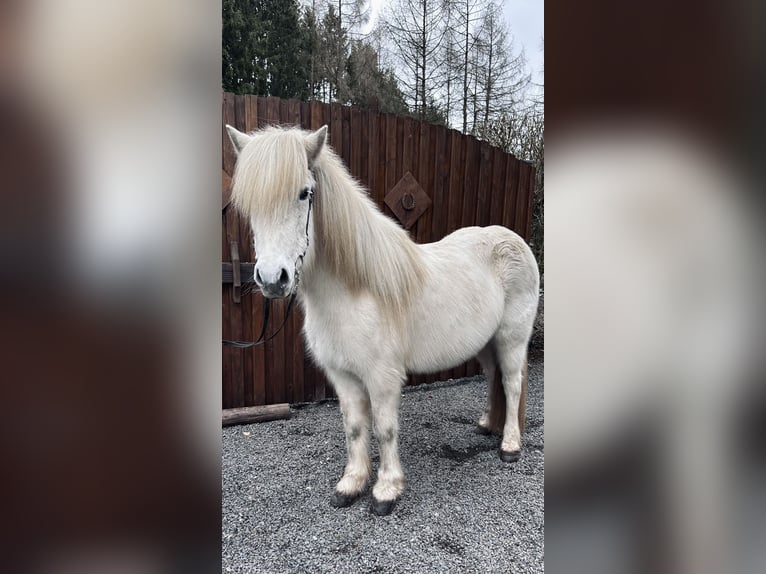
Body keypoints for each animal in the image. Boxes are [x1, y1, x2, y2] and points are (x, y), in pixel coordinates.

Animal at [226, 122, 540, 516]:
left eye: (304, 194)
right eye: (250, 204)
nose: (272, 280)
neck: (354, 290)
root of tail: (515, 241)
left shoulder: (382, 377)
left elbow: (385, 429)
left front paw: (386, 491)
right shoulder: (343, 377)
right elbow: (355, 428)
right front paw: (351, 485)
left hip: (512, 339)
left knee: (512, 384)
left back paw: (510, 445)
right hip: (486, 344)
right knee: (493, 378)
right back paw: (487, 425)